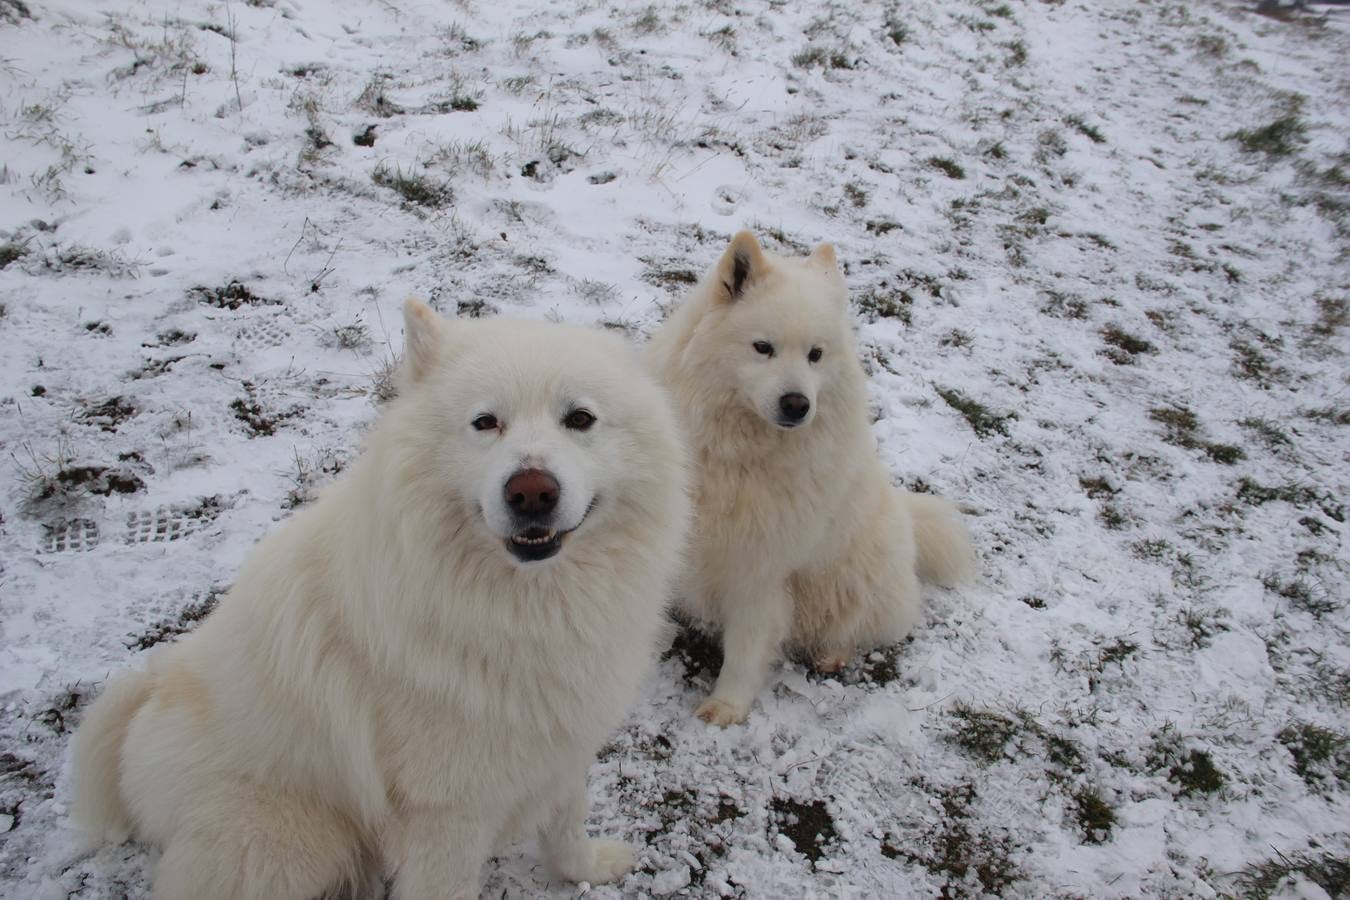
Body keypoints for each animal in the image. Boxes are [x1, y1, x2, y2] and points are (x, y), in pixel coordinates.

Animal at [68, 302, 691, 900]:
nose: (532, 491)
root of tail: (147, 700)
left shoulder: (562, 743)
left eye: (580, 419)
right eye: (485, 422)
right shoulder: (447, 809)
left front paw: (587, 870)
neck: (524, 604)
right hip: (291, 843)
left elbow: (566, 824)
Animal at [648, 230, 977, 723]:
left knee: (859, 629)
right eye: (762, 347)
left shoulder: (763, 569)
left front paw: (727, 707)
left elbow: (746, 649)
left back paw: (832, 655)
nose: (797, 404)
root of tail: (908, 518)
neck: (736, 455)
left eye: (815, 355)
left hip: (851, 585)